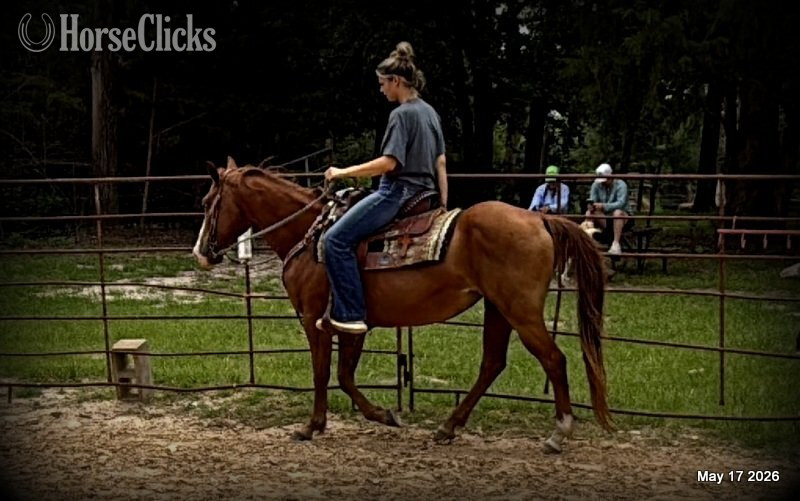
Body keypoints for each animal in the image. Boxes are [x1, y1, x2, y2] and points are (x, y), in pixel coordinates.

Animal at [193, 156, 611, 453]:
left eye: (208, 202)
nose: (200, 253)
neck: (312, 236)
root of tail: (540, 222)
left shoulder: (315, 319)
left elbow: (324, 373)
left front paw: (313, 426)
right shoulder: (351, 324)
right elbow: (344, 375)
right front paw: (384, 414)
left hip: (520, 311)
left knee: (553, 359)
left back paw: (559, 433)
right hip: (499, 309)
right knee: (492, 364)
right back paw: (448, 427)